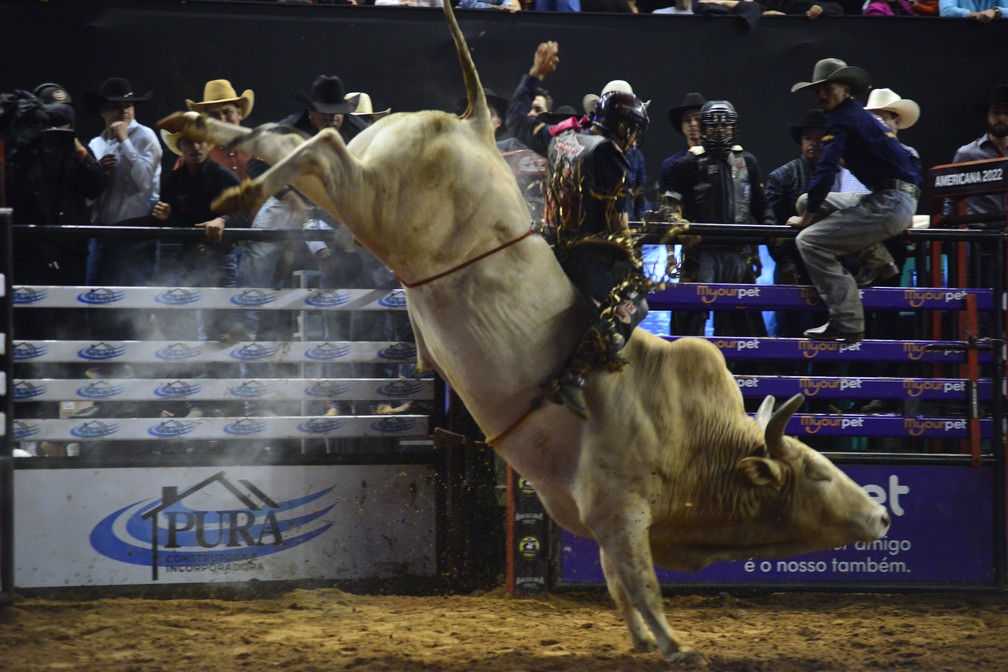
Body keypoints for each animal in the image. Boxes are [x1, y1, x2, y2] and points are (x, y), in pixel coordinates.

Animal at [157, 2, 891, 664]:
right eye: (817, 473)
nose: (883, 516)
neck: (696, 442)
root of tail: (477, 128)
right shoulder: (620, 507)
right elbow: (641, 581)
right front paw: (677, 645)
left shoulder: (597, 522)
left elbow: (621, 585)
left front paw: (645, 641)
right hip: (376, 200)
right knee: (322, 147)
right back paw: (238, 192)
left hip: (368, 184)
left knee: (285, 142)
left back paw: (191, 127)